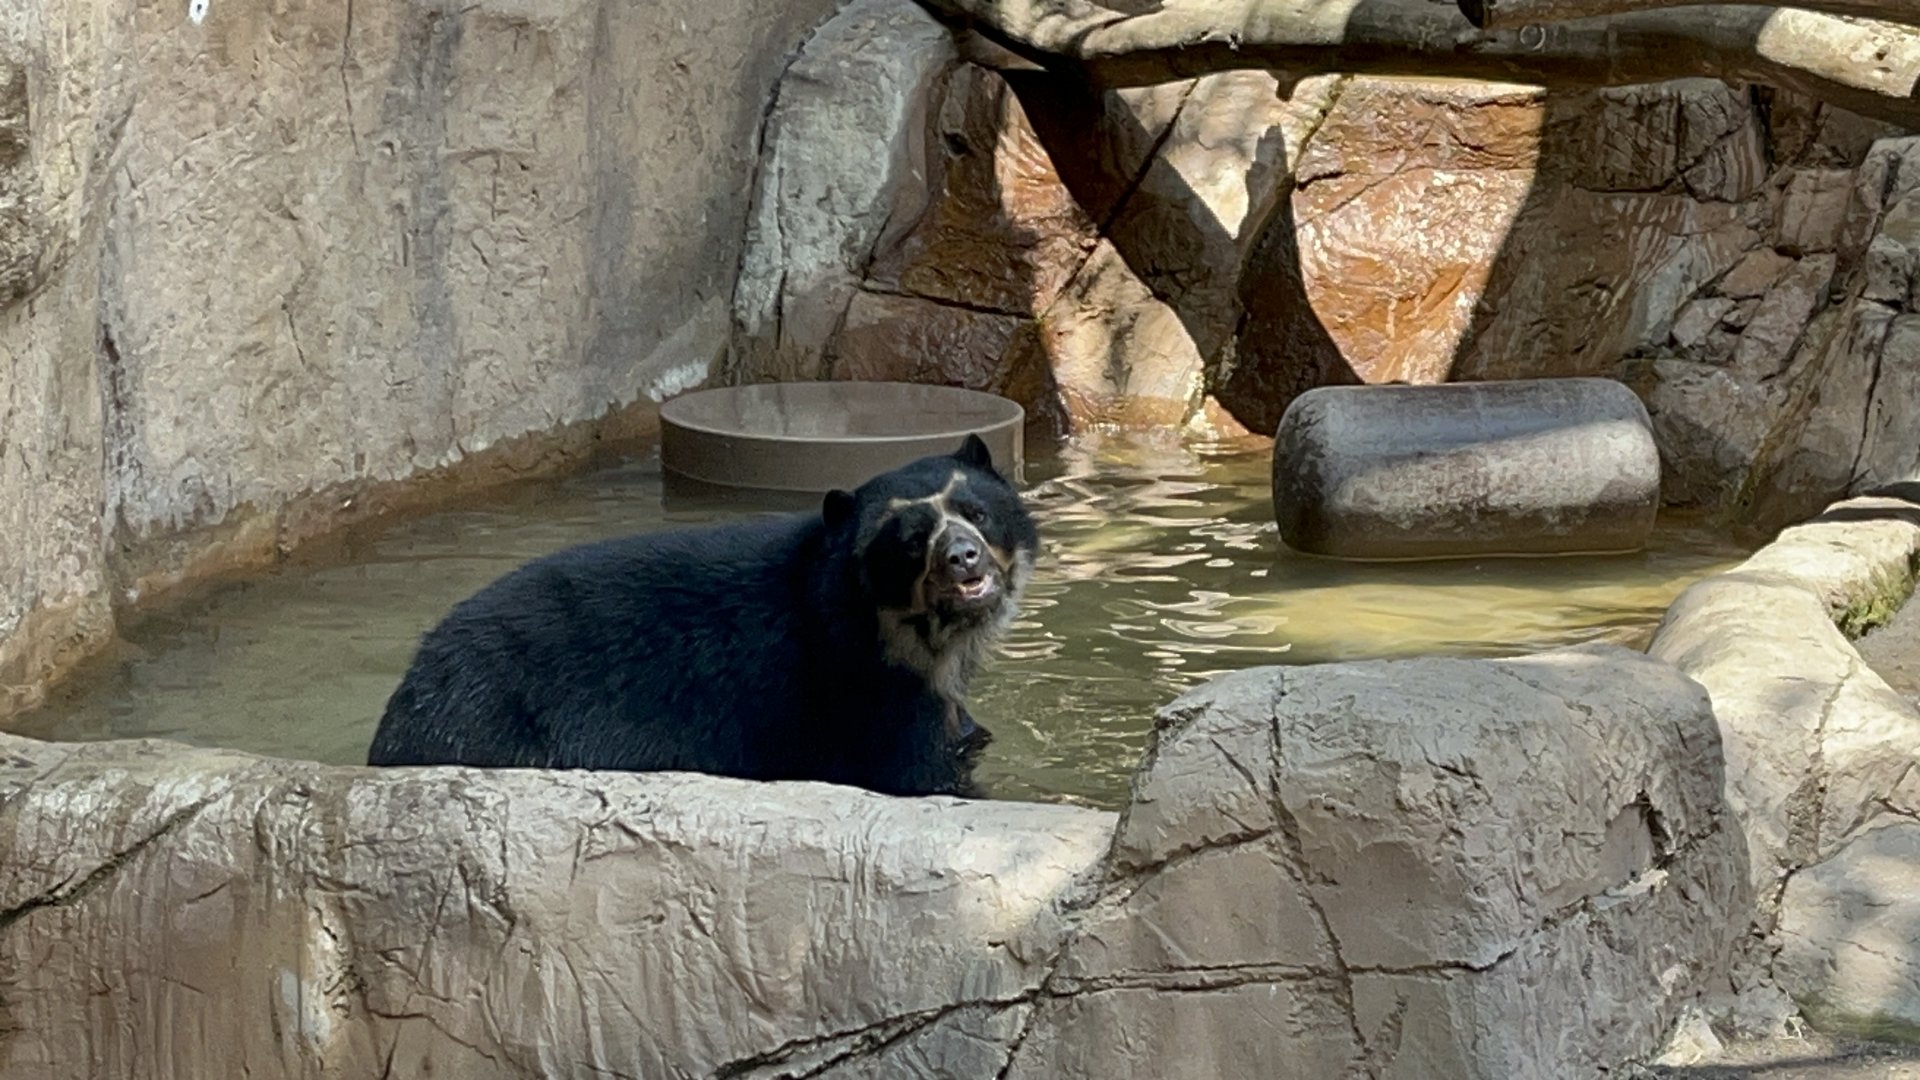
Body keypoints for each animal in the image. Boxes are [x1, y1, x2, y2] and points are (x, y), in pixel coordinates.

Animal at [365, 433, 1038, 798]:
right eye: (910, 541)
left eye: (976, 512)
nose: (962, 559)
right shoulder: (858, 691)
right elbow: (916, 767)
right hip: (491, 725)